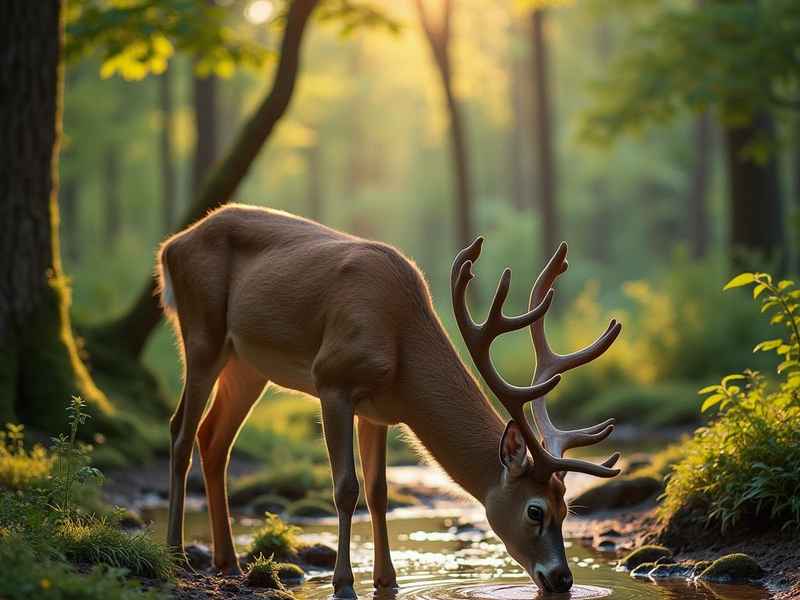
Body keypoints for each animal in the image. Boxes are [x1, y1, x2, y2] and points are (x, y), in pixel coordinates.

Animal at [158, 204, 622, 597]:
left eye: (567, 509)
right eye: (535, 511)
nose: (562, 579)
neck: (401, 353)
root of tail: (170, 247)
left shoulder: (378, 412)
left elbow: (379, 491)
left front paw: (387, 580)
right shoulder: (332, 380)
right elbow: (347, 487)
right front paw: (344, 584)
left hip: (247, 365)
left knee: (214, 438)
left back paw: (228, 562)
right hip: (201, 332)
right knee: (180, 430)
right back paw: (176, 555)